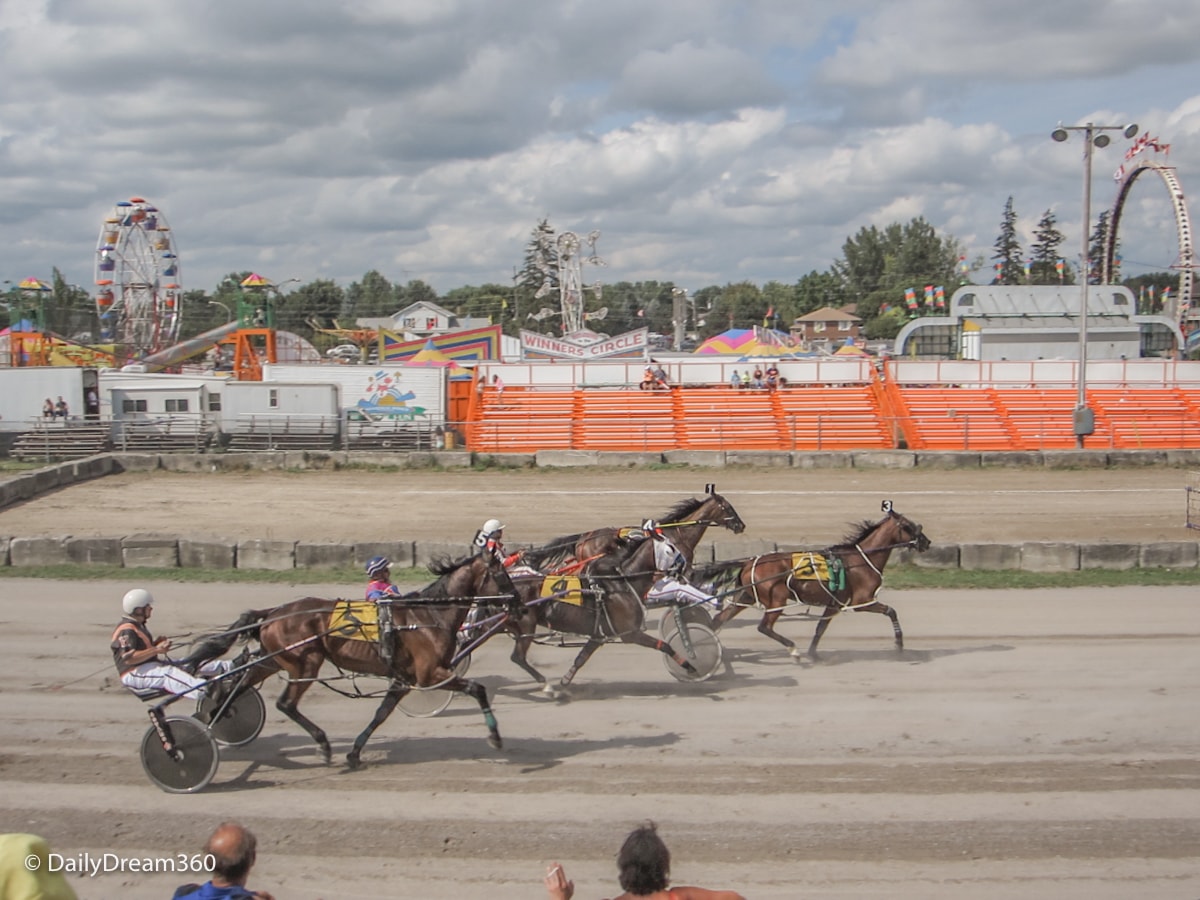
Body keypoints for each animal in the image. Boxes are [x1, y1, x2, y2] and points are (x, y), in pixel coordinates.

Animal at [207, 554, 516, 772]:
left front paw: (355, 753)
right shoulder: (429, 674)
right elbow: (477, 689)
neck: (428, 616)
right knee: (286, 703)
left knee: (240, 684)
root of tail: (273, 613)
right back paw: (322, 744)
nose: (516, 599)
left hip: (273, 660)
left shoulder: (404, 680)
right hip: (304, 663)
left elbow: (381, 714)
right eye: (501, 573)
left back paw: (217, 714)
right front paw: (496, 737)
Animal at [700, 504, 931, 657]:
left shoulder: (835, 603)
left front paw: (813, 653)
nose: (926, 542)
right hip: (777, 598)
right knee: (764, 627)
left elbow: (820, 627)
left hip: (745, 596)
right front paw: (899, 644)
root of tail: (749, 562)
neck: (860, 560)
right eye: (908, 526)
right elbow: (891, 611)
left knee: (720, 619)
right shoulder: (862, 600)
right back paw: (792, 649)